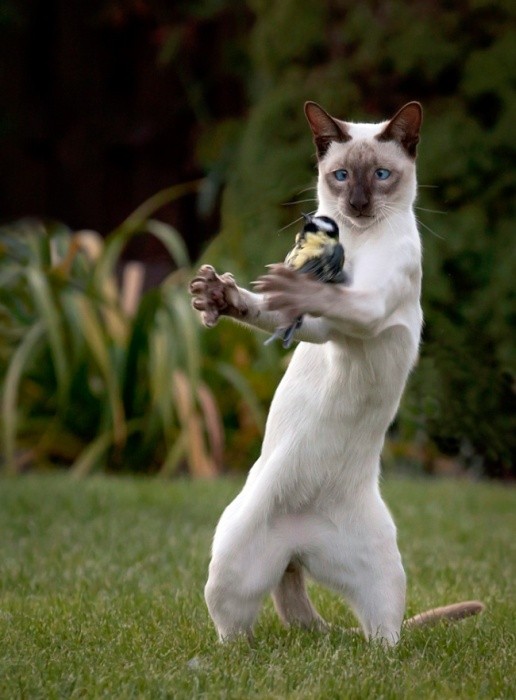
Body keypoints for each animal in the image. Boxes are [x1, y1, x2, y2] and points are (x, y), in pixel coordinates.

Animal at [189, 100, 484, 644]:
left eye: (381, 175)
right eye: (341, 176)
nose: (359, 204)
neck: (359, 242)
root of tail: (300, 550)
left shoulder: (367, 307)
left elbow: (333, 298)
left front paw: (299, 281)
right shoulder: (319, 329)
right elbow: (274, 310)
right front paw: (218, 295)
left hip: (382, 577)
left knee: (384, 634)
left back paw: (378, 652)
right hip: (233, 563)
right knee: (234, 626)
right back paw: (237, 652)